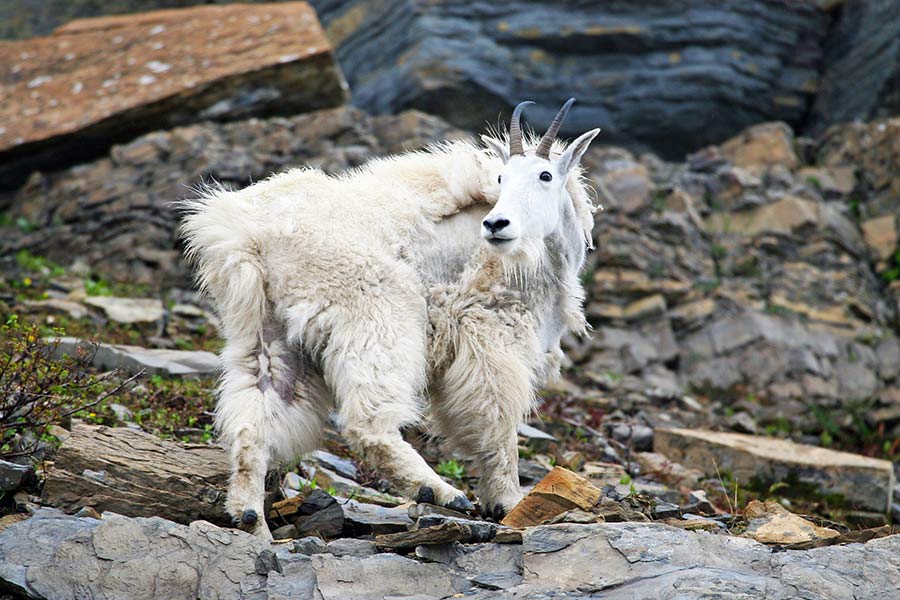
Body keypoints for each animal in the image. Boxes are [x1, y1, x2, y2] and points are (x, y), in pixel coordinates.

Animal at [179, 99, 600, 540]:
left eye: (545, 175)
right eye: (502, 177)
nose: (496, 224)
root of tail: (247, 237)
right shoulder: (491, 334)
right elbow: (497, 421)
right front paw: (508, 500)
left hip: (266, 331)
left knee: (254, 415)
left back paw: (252, 522)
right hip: (379, 314)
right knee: (366, 421)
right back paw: (440, 492)